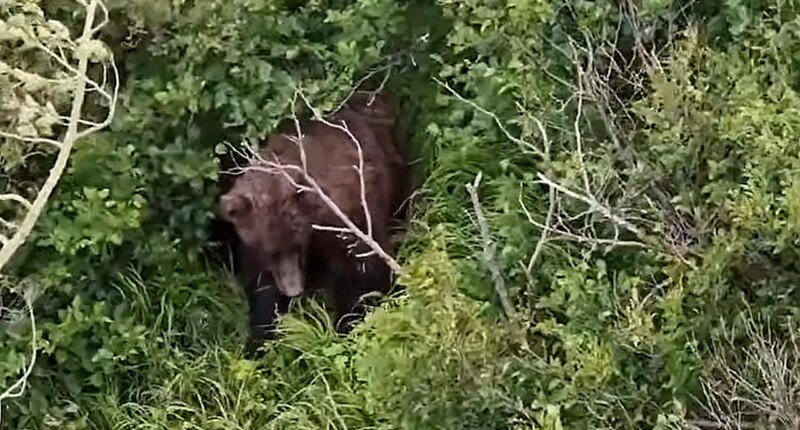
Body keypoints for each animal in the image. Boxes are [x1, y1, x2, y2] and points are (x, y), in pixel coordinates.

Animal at [216, 90, 408, 356]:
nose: (293, 289)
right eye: (270, 251)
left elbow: (363, 272)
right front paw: (258, 340)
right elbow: (262, 291)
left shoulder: (345, 218)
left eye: (295, 245)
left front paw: (347, 325)